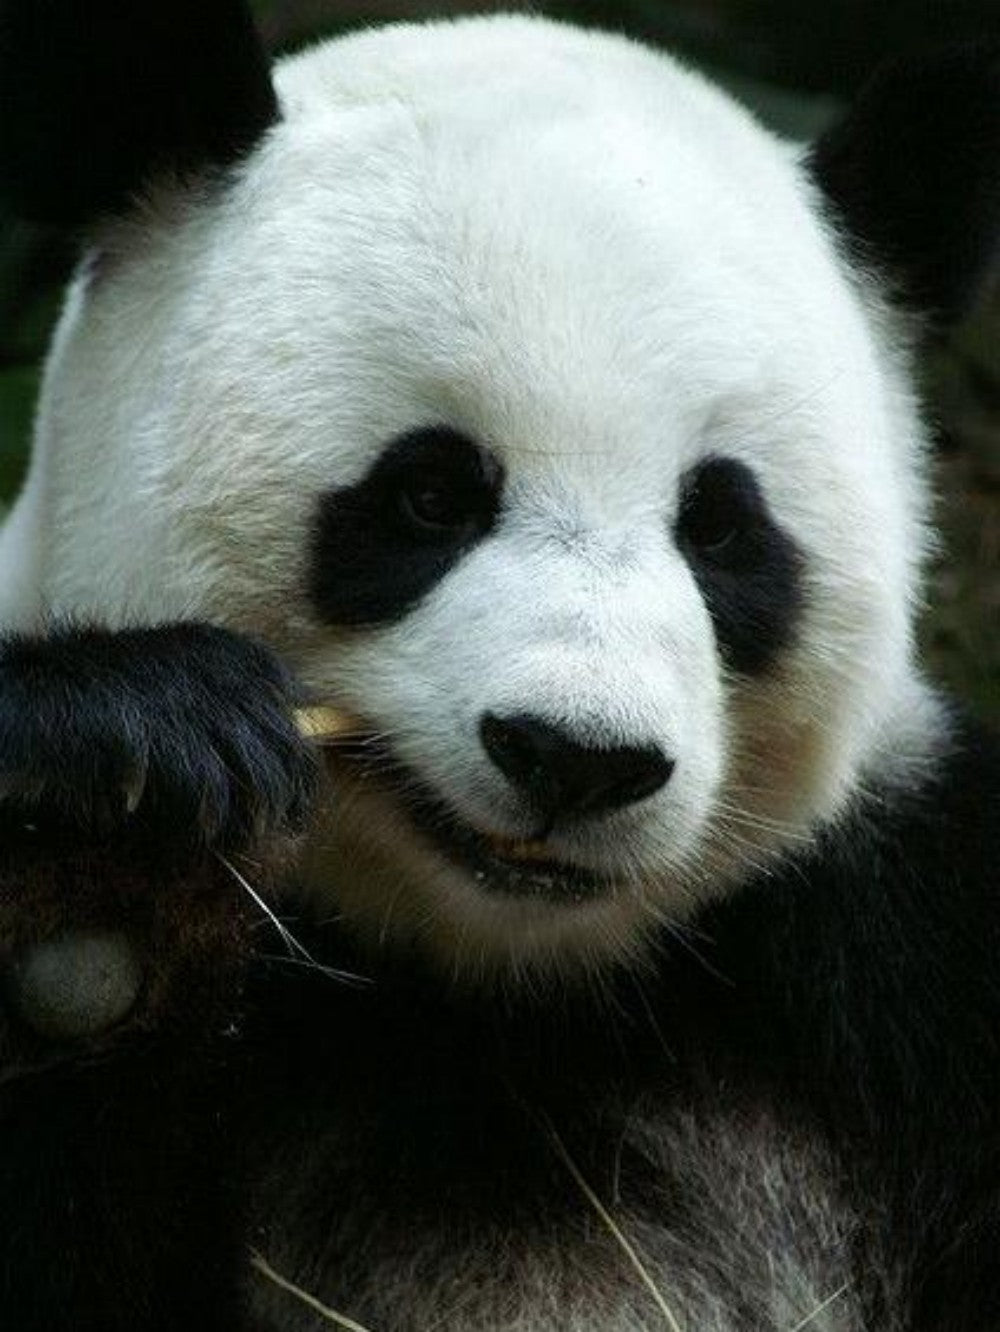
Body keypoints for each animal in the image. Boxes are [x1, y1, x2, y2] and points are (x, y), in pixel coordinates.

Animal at [1, 1, 999, 1328]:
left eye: (720, 527)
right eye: (429, 496)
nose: (577, 760)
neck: (493, 989)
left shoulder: (898, 953)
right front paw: (128, 778)